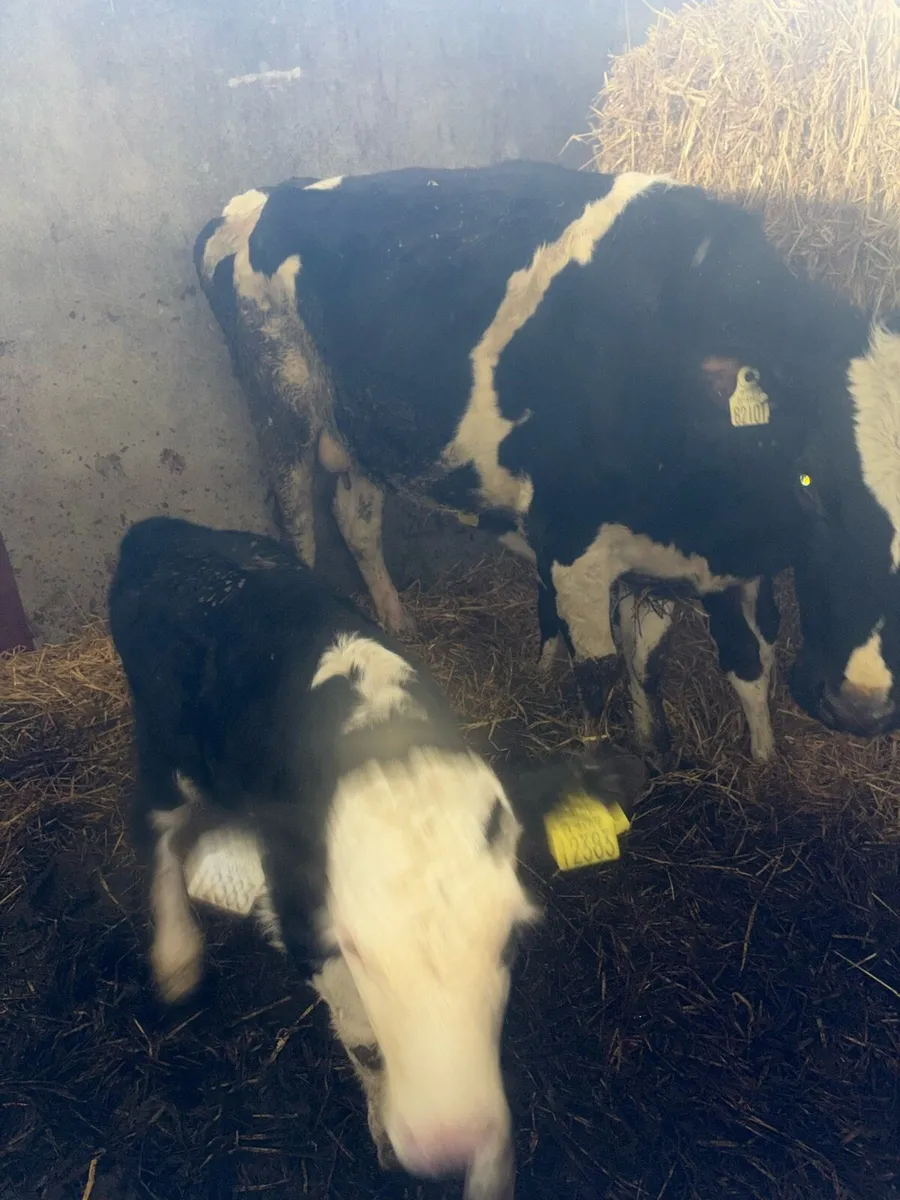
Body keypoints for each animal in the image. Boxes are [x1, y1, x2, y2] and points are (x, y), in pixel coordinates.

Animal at [108, 515, 646, 1200]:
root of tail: (164, 528)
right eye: (356, 945)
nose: (448, 1139)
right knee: (158, 832)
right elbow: (364, 1038)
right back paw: (176, 956)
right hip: (162, 746)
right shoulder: (303, 920)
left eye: (509, 940)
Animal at [193, 161, 900, 766]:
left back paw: (396, 620)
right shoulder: (572, 539)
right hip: (280, 407)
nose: (860, 705)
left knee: (358, 521)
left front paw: (660, 743)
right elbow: (600, 669)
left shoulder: (671, 555)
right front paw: (602, 763)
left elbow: (661, 660)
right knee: (299, 531)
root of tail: (258, 197)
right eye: (809, 481)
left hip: (363, 432)